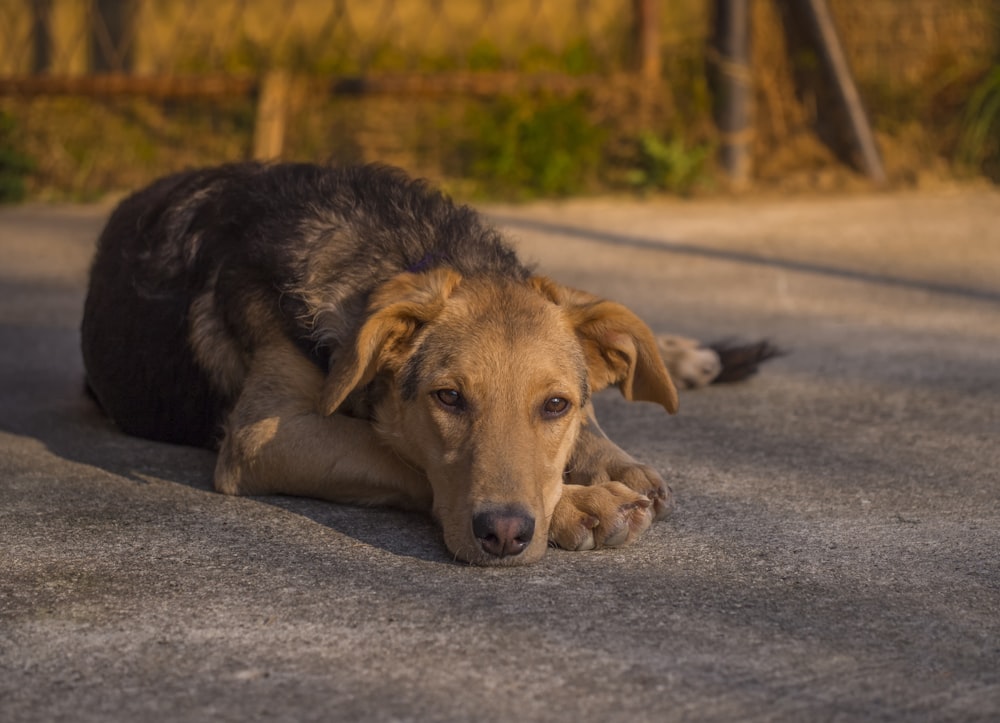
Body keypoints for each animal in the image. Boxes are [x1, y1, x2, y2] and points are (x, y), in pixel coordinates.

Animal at [82, 164, 776, 564]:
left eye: (555, 405)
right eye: (448, 399)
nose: (504, 535)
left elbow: (591, 424)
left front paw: (610, 464)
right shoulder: (260, 437)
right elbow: (397, 454)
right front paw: (581, 505)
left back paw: (685, 354)